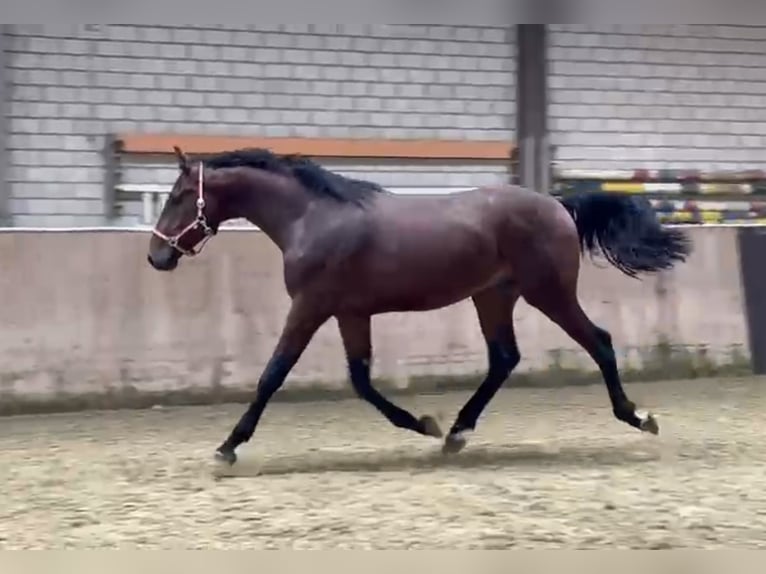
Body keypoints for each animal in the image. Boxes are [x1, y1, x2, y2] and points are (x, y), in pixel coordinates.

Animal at [147, 145, 691, 466]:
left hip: (548, 293)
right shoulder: (350, 312)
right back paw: (456, 433)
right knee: (504, 358)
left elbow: (273, 374)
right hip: (493, 296)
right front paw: (424, 424)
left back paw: (638, 417)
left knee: (599, 341)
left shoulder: (311, 306)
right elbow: (361, 381)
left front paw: (227, 447)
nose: (156, 256)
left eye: (178, 196)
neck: (310, 217)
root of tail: (558, 204)